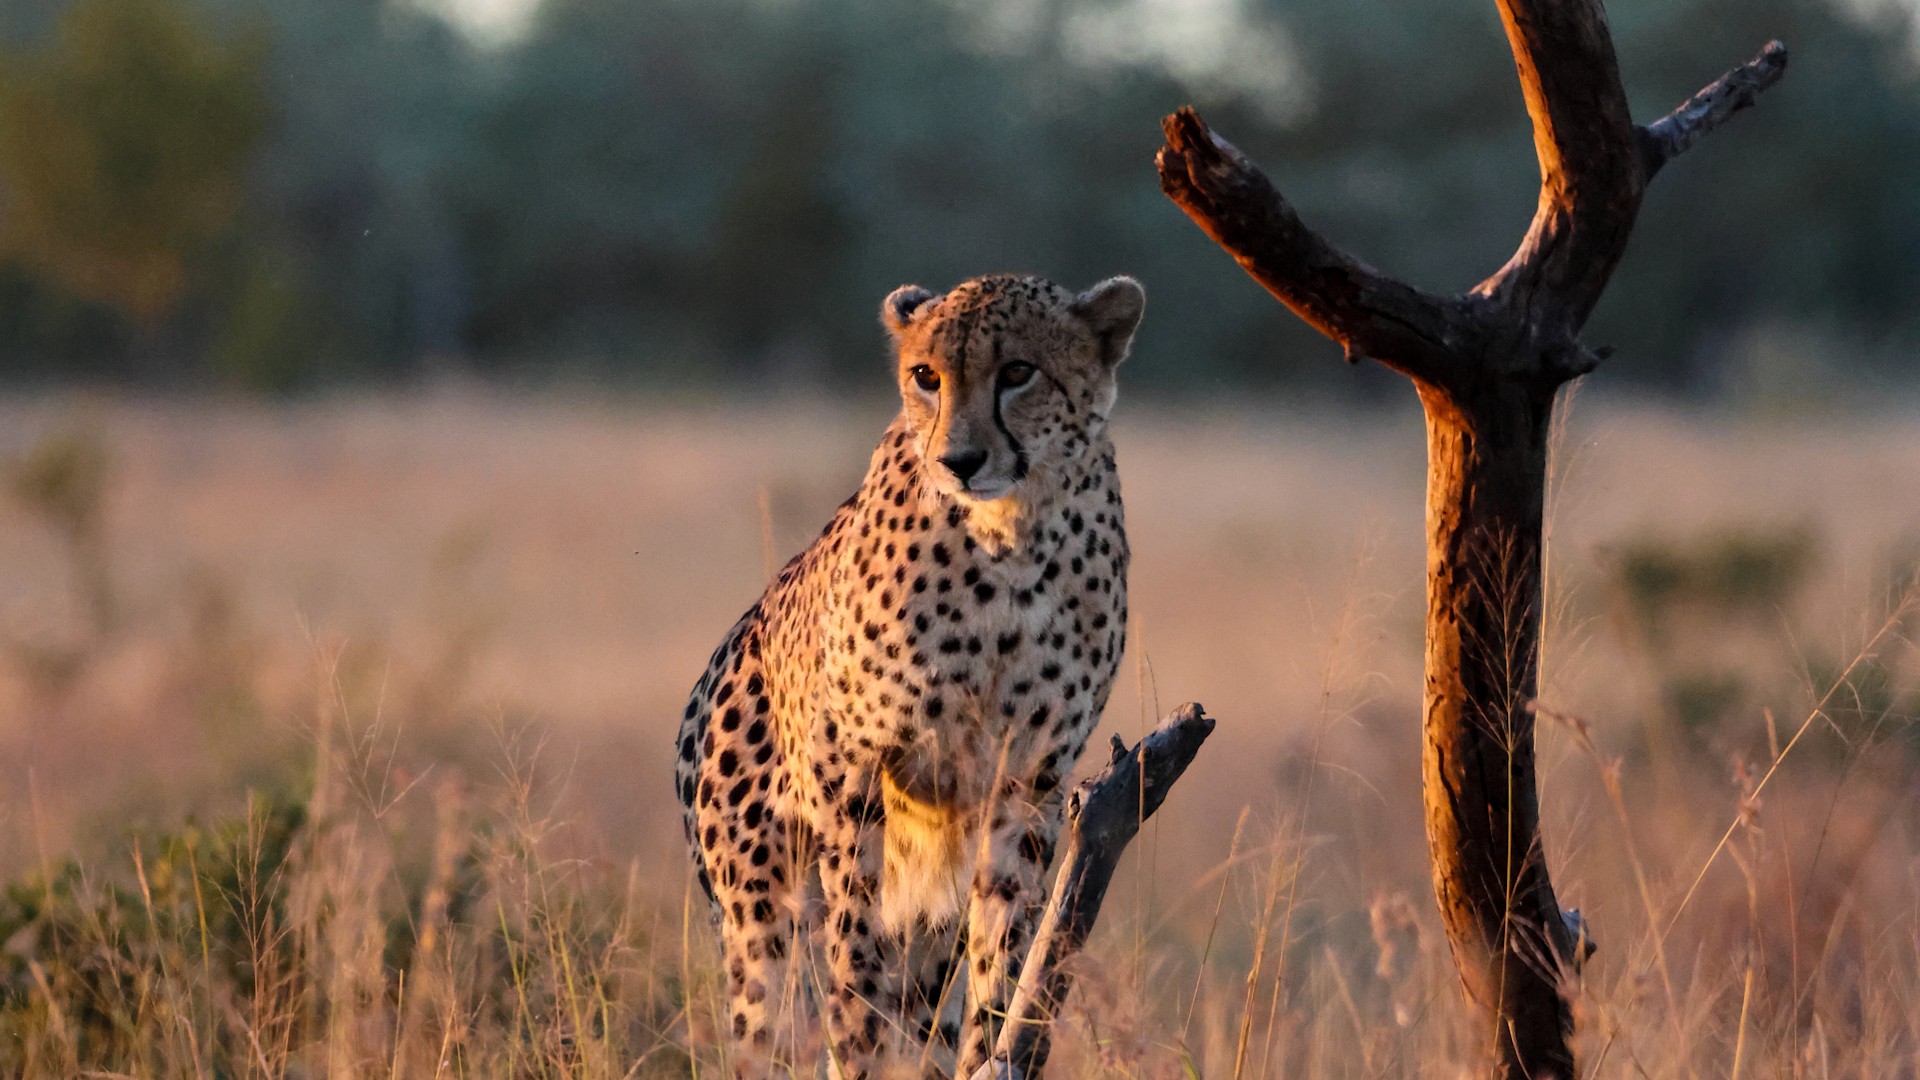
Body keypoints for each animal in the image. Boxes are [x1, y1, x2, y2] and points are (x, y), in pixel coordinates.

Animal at [674, 272, 1142, 1078]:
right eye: (926, 376)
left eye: (1018, 372)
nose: (959, 460)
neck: (1010, 539)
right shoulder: (854, 765)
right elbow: (852, 953)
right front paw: (856, 1041)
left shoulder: (1026, 784)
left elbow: (1003, 949)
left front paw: (993, 1048)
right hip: (759, 917)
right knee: (776, 1015)